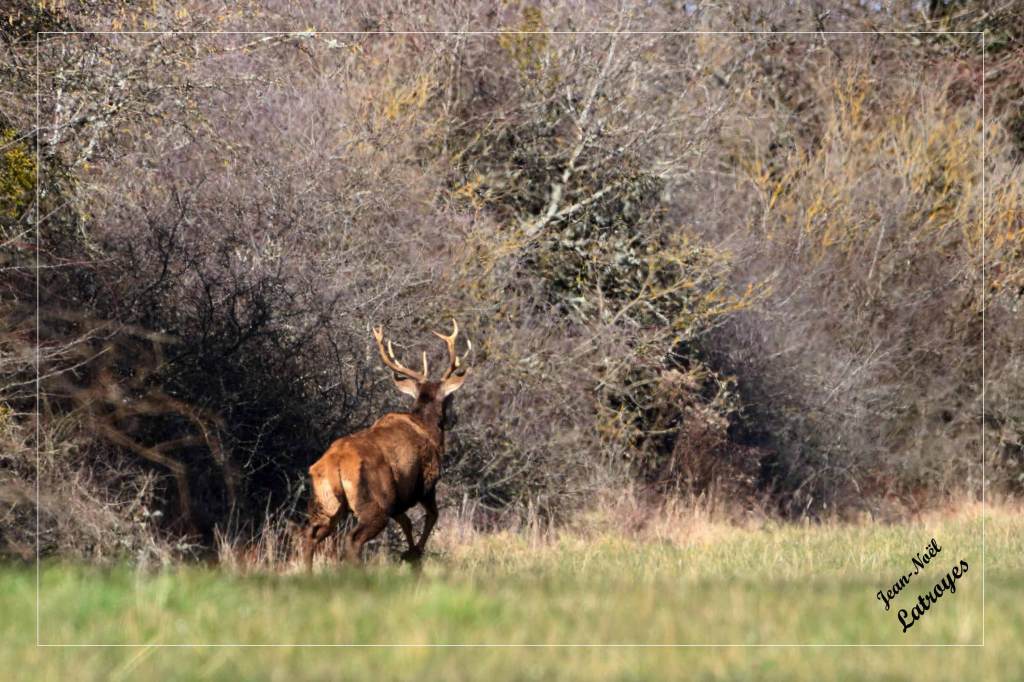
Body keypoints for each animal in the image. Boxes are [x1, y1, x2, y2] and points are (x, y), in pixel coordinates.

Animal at [302, 320, 471, 571]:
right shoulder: (427, 482)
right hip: (375, 502)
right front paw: (414, 554)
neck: (429, 430)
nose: (454, 419)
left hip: (326, 501)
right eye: (449, 398)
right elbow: (432, 517)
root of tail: (337, 463)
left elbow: (407, 523)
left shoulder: (398, 500)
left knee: (311, 533)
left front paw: (409, 554)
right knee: (352, 539)